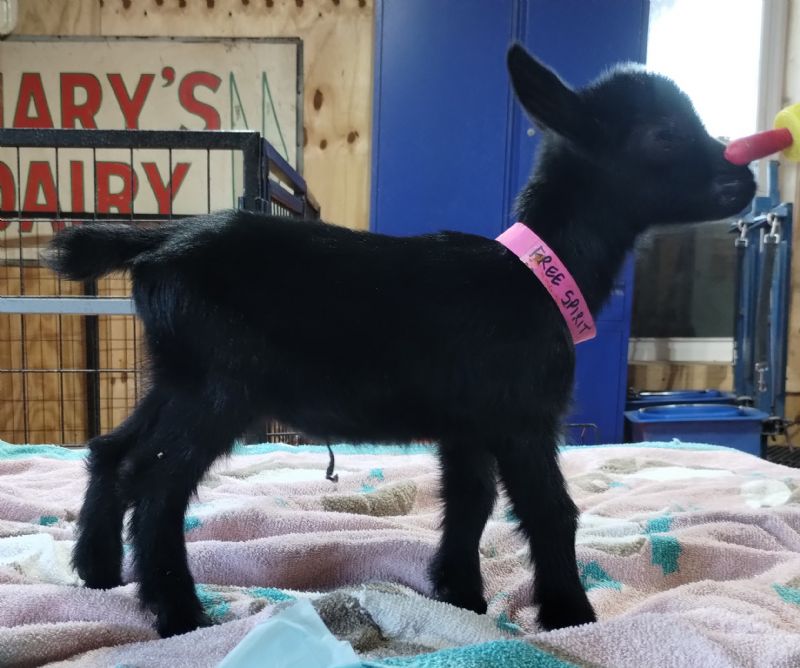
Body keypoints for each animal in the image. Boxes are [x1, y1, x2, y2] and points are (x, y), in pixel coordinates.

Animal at [45, 44, 755, 638]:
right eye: (663, 134)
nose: (745, 181)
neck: (536, 273)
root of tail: (159, 242)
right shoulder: (524, 416)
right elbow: (550, 509)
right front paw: (571, 615)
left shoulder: (468, 424)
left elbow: (470, 500)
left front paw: (460, 596)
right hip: (221, 384)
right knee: (155, 482)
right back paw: (180, 615)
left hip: (177, 375)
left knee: (112, 451)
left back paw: (98, 571)